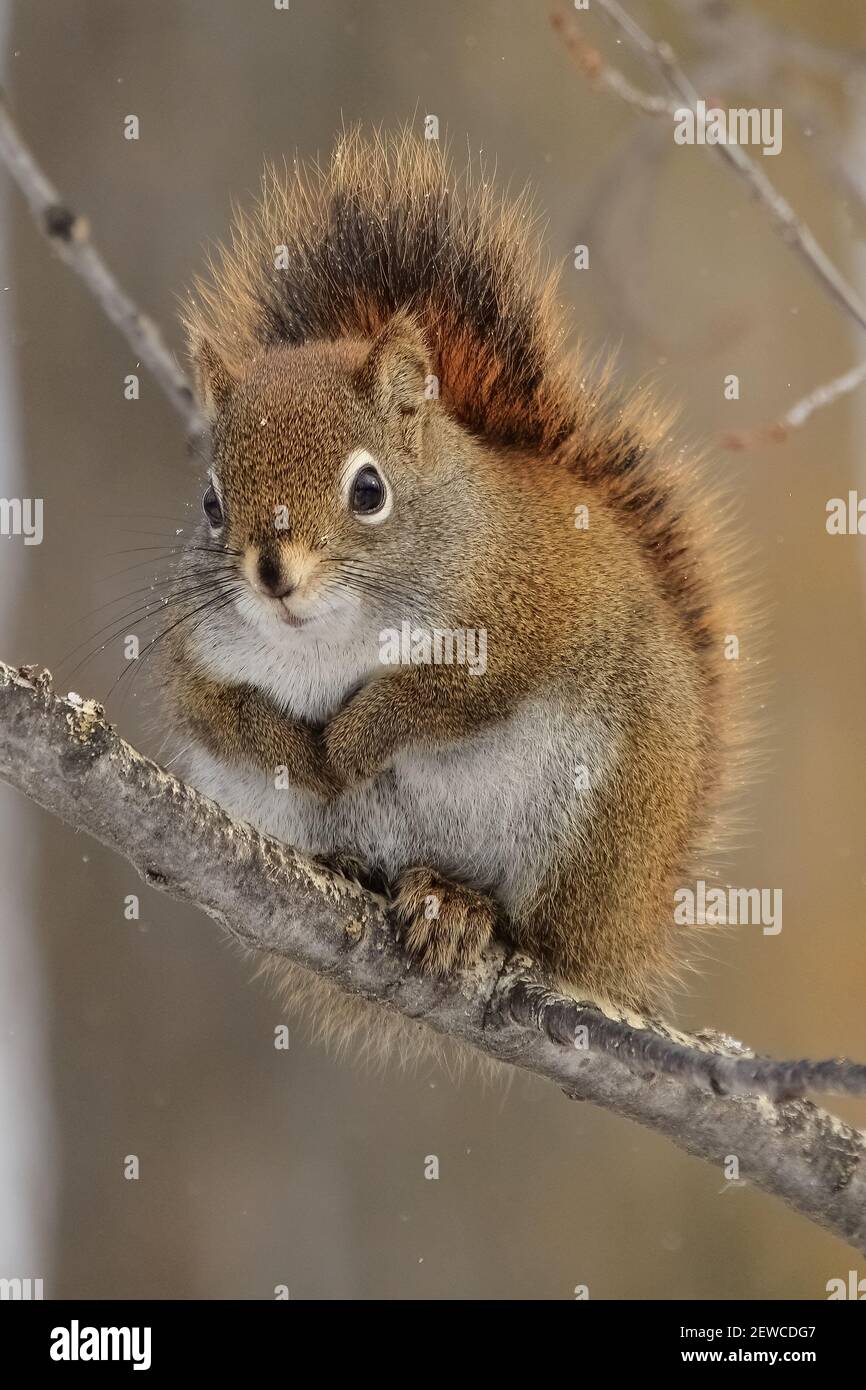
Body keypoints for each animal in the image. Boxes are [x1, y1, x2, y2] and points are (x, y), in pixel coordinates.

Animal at [163, 128, 752, 1057]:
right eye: (211, 503)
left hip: (594, 826)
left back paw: (463, 909)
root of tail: (632, 930)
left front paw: (355, 741)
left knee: (541, 936)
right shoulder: (201, 660)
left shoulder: (528, 615)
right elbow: (224, 715)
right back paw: (355, 867)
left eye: (369, 490)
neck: (327, 635)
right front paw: (301, 752)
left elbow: (442, 697)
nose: (272, 574)